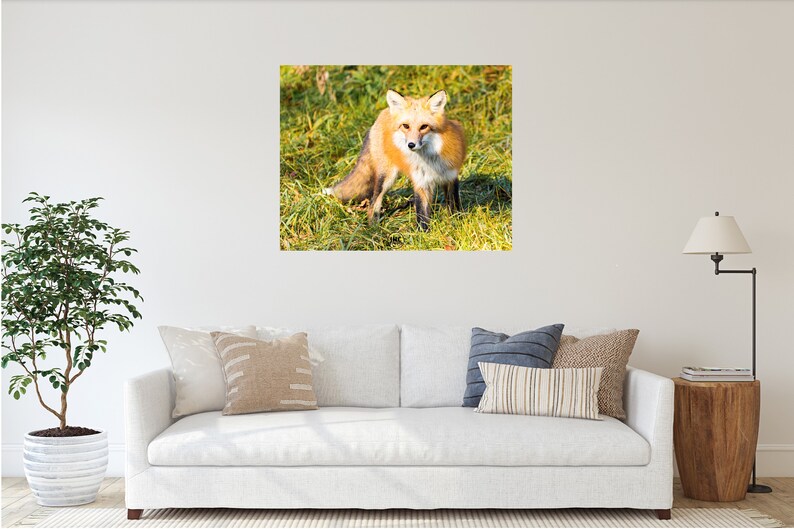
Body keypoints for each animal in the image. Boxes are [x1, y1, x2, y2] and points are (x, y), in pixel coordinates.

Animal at [323, 89, 466, 230]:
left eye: (424, 127)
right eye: (406, 126)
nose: (411, 145)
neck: (431, 161)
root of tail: (384, 113)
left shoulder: (451, 177)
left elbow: (454, 207)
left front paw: (456, 225)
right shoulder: (421, 183)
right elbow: (422, 215)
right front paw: (423, 234)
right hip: (387, 178)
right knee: (373, 203)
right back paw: (374, 229)